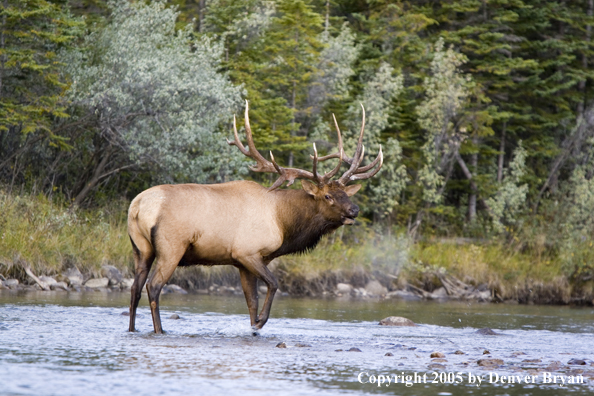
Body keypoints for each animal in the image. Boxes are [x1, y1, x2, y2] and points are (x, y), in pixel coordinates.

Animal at [126, 100, 382, 332]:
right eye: (328, 196)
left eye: (345, 193)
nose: (354, 210)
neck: (283, 222)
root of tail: (138, 206)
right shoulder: (247, 252)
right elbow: (273, 285)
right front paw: (260, 322)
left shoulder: (243, 263)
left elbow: (251, 302)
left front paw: (253, 325)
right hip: (171, 248)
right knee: (153, 286)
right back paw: (160, 330)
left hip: (141, 249)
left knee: (135, 288)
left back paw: (132, 329)